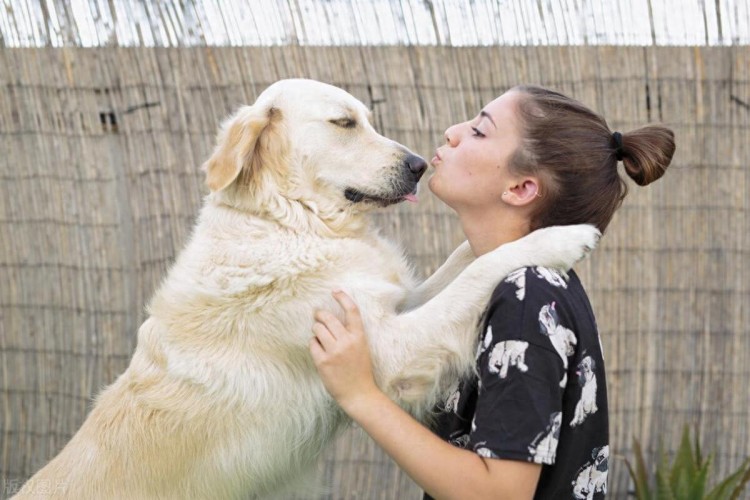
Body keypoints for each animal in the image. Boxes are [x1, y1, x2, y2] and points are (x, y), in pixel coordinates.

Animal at [16, 80, 600, 498]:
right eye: (344, 122)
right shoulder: (390, 348)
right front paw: (559, 236)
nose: (419, 165)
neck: (292, 221)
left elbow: (465, 258)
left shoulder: (391, 302)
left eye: (367, 118)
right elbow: (483, 269)